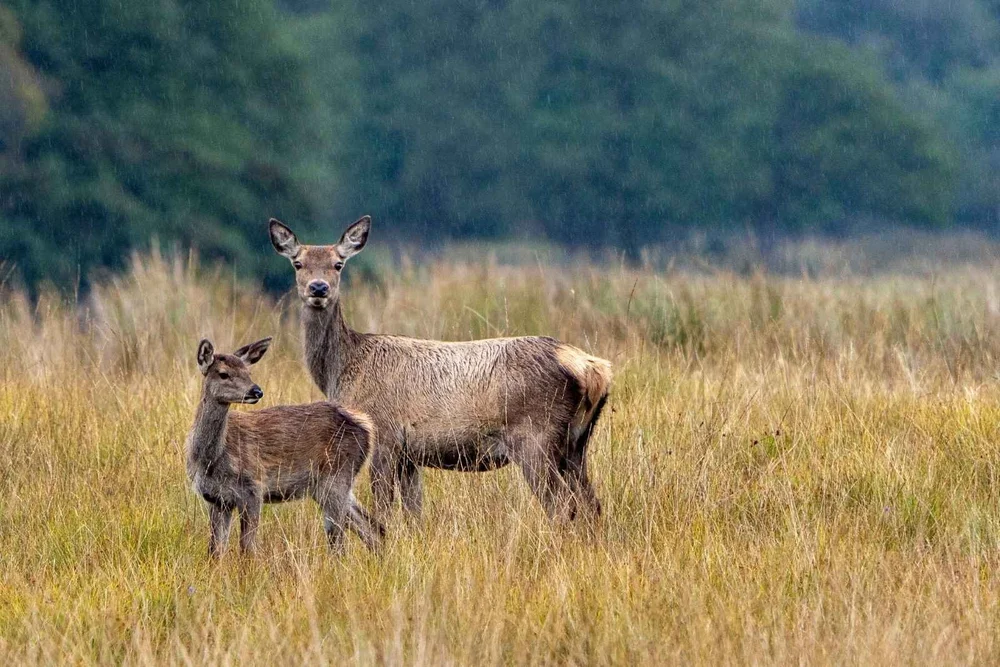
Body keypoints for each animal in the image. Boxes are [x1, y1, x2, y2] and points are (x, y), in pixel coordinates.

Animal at [185, 336, 383, 557]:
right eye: (223, 374)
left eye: (248, 372)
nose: (256, 391)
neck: (210, 459)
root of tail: (366, 426)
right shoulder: (216, 499)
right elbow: (215, 550)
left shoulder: (253, 487)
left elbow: (247, 548)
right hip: (327, 486)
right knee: (372, 527)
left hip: (336, 476)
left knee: (341, 539)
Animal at [269, 216, 612, 524]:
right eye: (298, 263)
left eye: (338, 264)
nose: (319, 288)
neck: (342, 370)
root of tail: (594, 370)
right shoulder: (409, 454)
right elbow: (414, 513)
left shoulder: (384, 435)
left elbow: (384, 509)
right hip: (577, 444)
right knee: (592, 505)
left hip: (535, 437)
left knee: (563, 507)